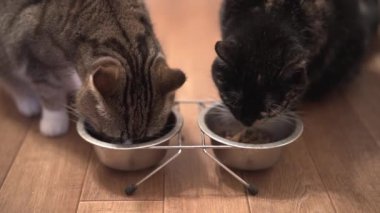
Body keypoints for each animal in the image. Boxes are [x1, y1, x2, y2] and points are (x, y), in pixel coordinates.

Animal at [0, 1, 185, 141]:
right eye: (116, 138)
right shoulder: (34, 55)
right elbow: (49, 91)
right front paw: (54, 122)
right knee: (12, 79)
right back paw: (28, 102)